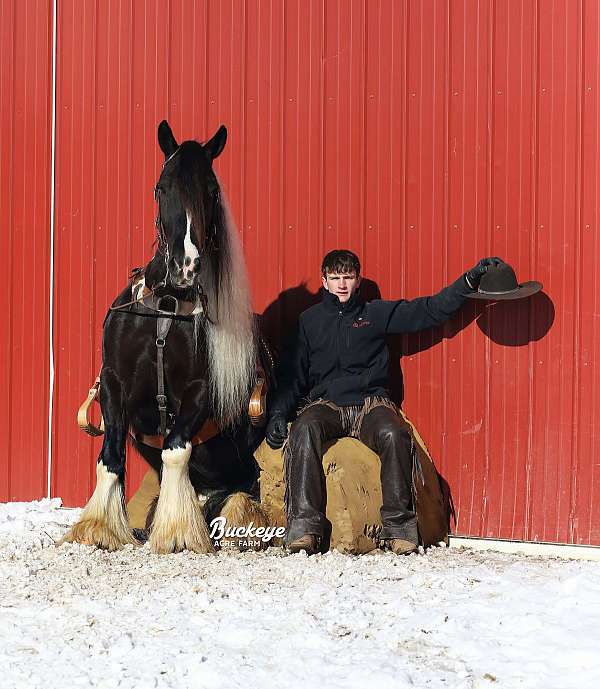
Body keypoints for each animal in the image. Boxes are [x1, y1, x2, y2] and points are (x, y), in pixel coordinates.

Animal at [62, 121, 268, 552]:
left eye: (211, 189)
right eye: (161, 187)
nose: (186, 265)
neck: (168, 306)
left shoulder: (199, 391)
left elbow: (175, 451)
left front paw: (177, 532)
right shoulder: (113, 383)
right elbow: (109, 458)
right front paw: (98, 528)